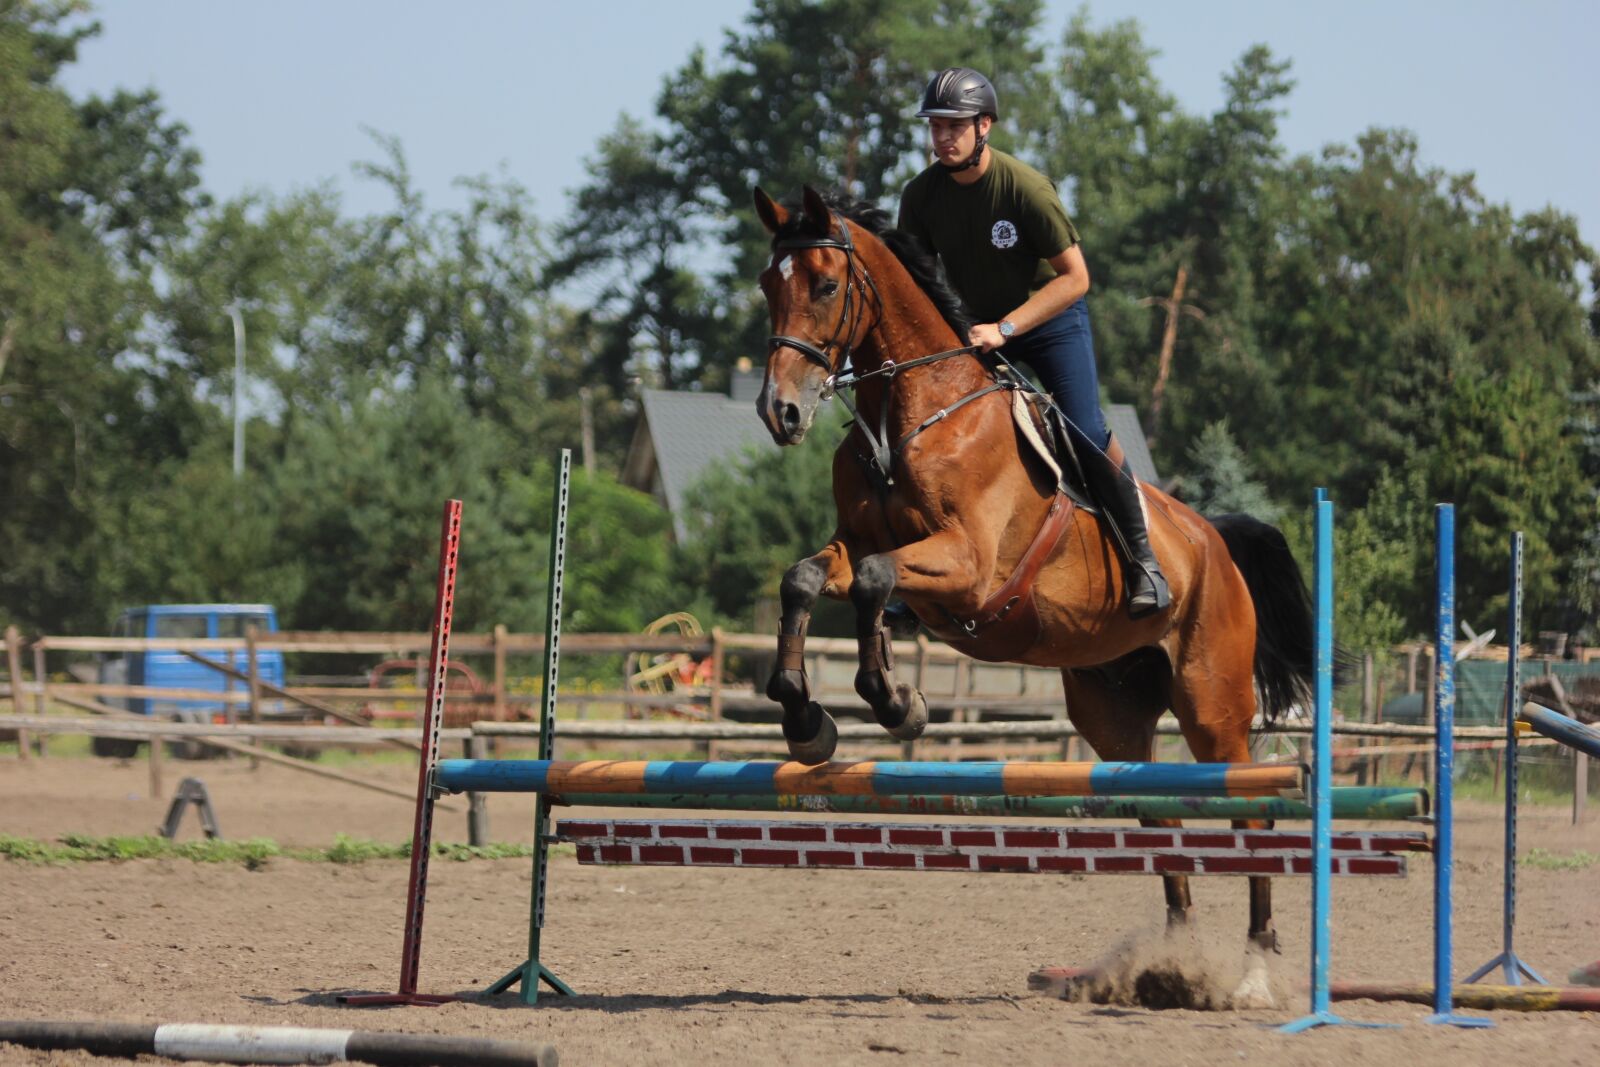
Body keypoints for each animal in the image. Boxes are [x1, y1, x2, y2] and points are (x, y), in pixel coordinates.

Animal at [751, 184, 1314, 1005]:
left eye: (824, 285)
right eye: (770, 285)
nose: (780, 412)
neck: (914, 411)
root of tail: (1213, 538)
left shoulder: (967, 567)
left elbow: (880, 579)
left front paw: (895, 702)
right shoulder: (852, 546)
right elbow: (806, 578)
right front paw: (805, 719)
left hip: (1214, 706)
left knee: (1253, 816)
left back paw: (1252, 974)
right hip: (1113, 712)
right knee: (1159, 811)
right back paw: (1172, 967)